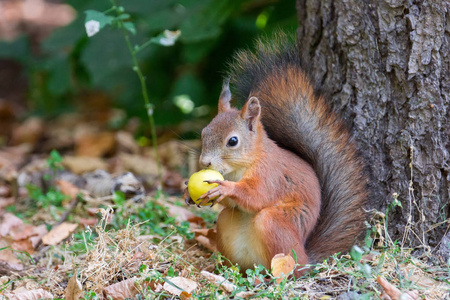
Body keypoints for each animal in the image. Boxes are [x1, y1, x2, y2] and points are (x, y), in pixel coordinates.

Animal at [185, 37, 368, 276]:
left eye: (232, 141)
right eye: (204, 132)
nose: (204, 162)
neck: (239, 168)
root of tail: (307, 259)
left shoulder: (270, 173)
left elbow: (257, 195)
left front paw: (226, 188)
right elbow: (233, 204)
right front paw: (188, 193)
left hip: (275, 226)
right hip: (227, 225)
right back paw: (228, 271)